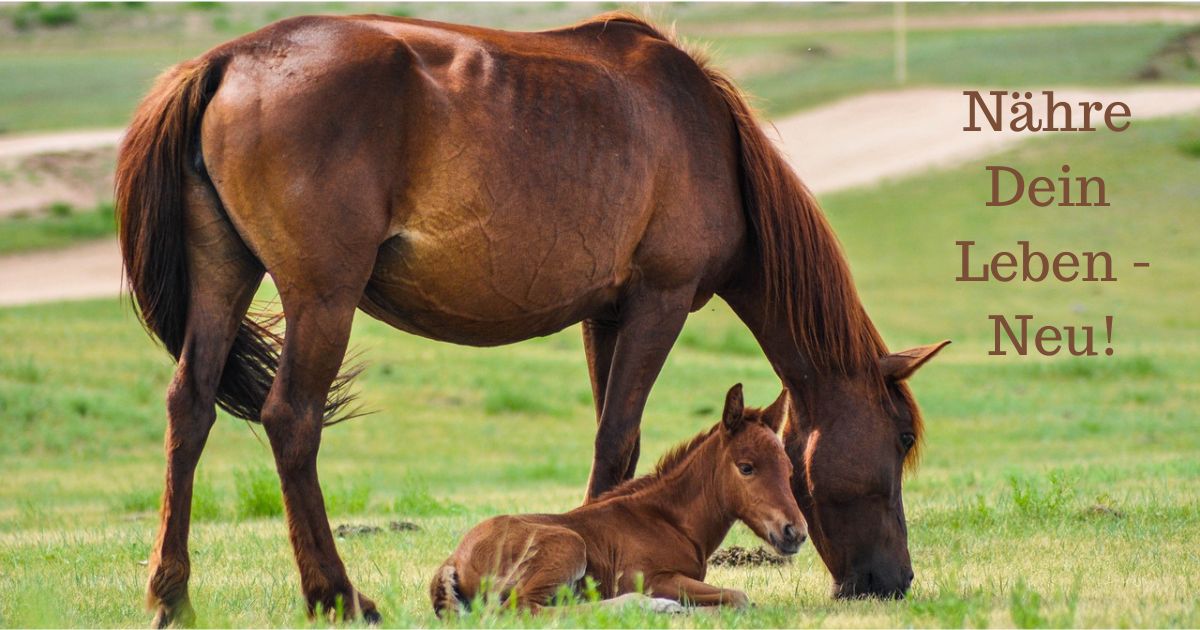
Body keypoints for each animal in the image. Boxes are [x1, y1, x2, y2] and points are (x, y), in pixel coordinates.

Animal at [429, 384, 806, 614]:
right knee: (526, 610)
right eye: (746, 467)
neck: (670, 521)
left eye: (789, 468)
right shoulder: (651, 578)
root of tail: (453, 560)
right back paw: (651, 606)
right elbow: (738, 597)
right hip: (567, 546)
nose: (796, 533)